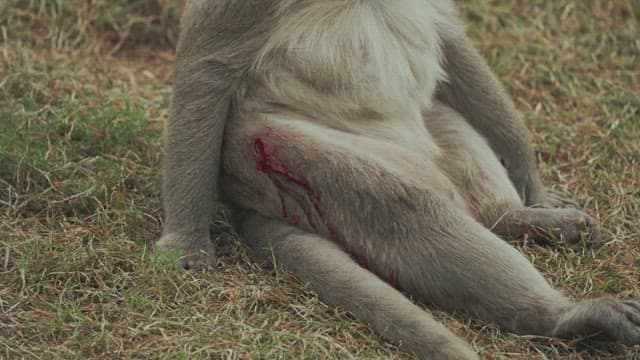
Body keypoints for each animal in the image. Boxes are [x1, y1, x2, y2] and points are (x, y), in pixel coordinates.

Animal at [155, 1, 640, 358]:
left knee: (447, 125)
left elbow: (449, 35)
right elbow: (207, 65)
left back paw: (512, 217)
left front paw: (529, 178)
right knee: (402, 206)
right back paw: (562, 317)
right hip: (268, 154)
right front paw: (186, 239)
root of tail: (242, 197)